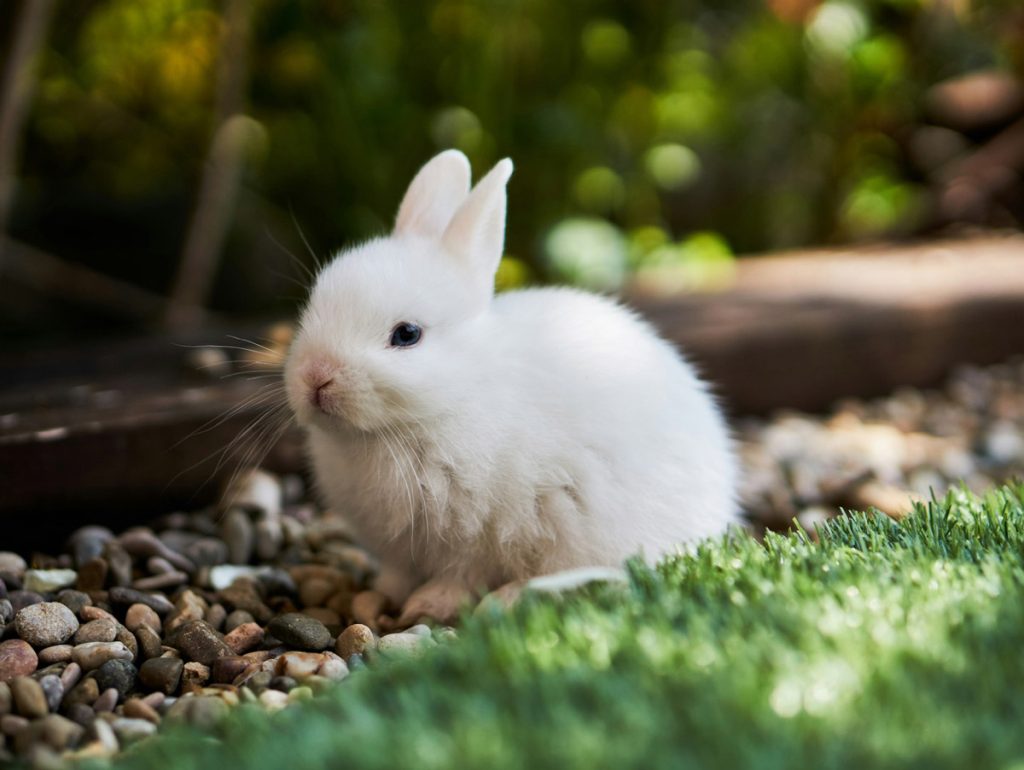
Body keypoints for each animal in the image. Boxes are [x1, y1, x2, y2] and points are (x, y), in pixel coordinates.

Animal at [284, 150, 741, 626]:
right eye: (313, 306)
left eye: (407, 334)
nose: (316, 377)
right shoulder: (401, 551)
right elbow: (397, 574)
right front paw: (379, 595)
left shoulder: (476, 536)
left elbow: (461, 575)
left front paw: (428, 605)